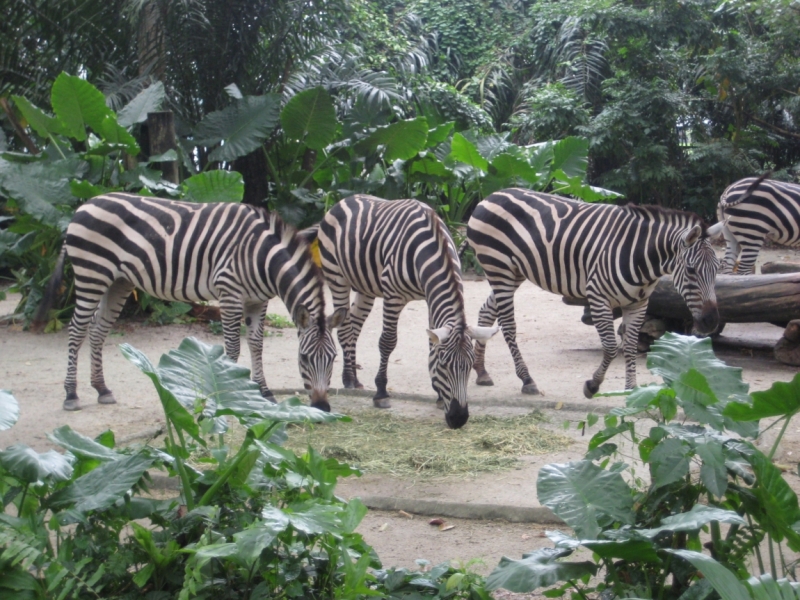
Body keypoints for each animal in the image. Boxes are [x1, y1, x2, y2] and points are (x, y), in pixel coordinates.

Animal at [32, 192, 346, 412]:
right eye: (304, 358)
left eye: (333, 359)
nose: (322, 407)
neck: (262, 258)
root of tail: (83, 205)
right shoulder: (229, 292)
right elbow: (233, 347)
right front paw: (228, 391)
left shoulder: (258, 301)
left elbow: (257, 345)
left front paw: (264, 392)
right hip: (91, 274)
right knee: (77, 330)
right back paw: (71, 393)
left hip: (118, 282)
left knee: (98, 330)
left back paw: (102, 389)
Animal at [302, 195, 496, 428]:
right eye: (444, 365)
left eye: (468, 366)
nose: (458, 419)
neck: (430, 251)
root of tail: (343, 200)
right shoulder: (393, 295)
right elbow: (387, 342)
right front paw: (381, 392)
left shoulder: (431, 297)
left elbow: (431, 343)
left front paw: (439, 396)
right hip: (337, 277)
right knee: (345, 330)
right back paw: (348, 378)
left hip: (365, 287)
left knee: (354, 327)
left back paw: (355, 379)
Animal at [466, 189, 720, 398]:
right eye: (691, 270)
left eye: (718, 269)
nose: (711, 322)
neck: (640, 256)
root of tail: (490, 196)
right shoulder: (598, 297)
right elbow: (610, 347)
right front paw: (592, 385)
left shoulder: (639, 303)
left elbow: (630, 345)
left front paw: (631, 390)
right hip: (499, 268)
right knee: (508, 324)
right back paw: (527, 379)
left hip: (514, 273)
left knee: (486, 311)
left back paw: (481, 372)